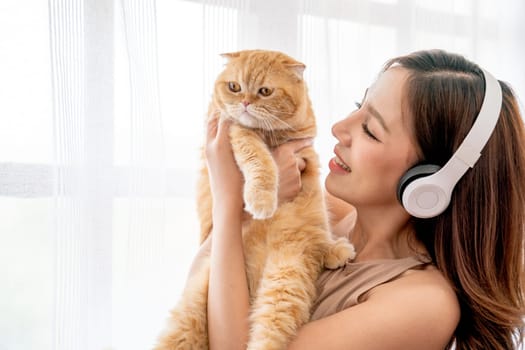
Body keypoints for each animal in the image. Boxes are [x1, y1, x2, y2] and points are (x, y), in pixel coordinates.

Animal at [154, 50, 354, 350]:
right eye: (234, 87)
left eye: (265, 91)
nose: (246, 103)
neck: (272, 136)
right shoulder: (237, 133)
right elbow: (259, 159)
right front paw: (261, 199)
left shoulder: (307, 158)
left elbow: (315, 199)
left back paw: (333, 250)